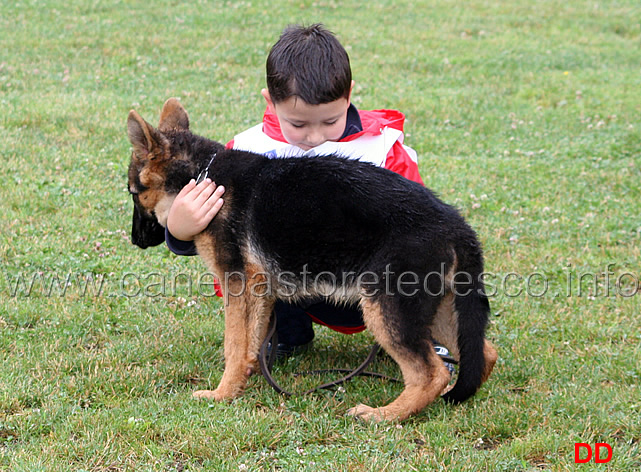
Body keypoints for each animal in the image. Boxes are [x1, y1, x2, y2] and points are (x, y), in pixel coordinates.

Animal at [125, 97, 496, 420]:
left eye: (133, 193)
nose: (135, 241)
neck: (204, 173)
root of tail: (457, 225)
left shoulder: (237, 286)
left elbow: (234, 343)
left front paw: (222, 394)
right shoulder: (258, 291)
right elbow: (249, 343)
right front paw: (244, 381)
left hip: (386, 309)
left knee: (430, 373)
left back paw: (383, 415)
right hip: (438, 309)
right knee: (483, 353)